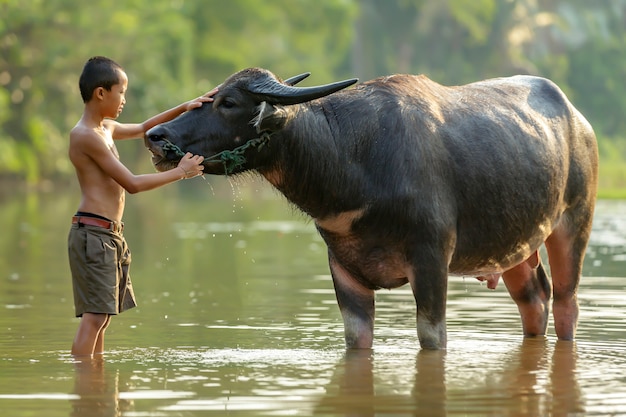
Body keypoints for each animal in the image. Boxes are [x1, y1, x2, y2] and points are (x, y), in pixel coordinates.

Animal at [145, 67, 596, 348]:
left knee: (566, 304)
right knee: (534, 300)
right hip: (515, 248)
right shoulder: (343, 270)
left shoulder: (431, 261)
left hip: (574, 225)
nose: (155, 135)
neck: (355, 161)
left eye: (228, 102)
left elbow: (432, 338)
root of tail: (579, 121)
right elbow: (356, 340)